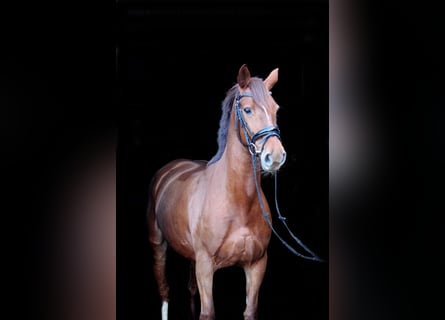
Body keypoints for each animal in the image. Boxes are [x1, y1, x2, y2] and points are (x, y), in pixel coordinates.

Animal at [147, 65, 286, 320]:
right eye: (247, 110)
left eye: (275, 109)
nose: (275, 156)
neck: (237, 200)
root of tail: (169, 169)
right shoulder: (205, 266)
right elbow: (208, 312)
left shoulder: (257, 265)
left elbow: (249, 310)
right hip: (158, 246)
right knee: (164, 292)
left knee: (190, 290)